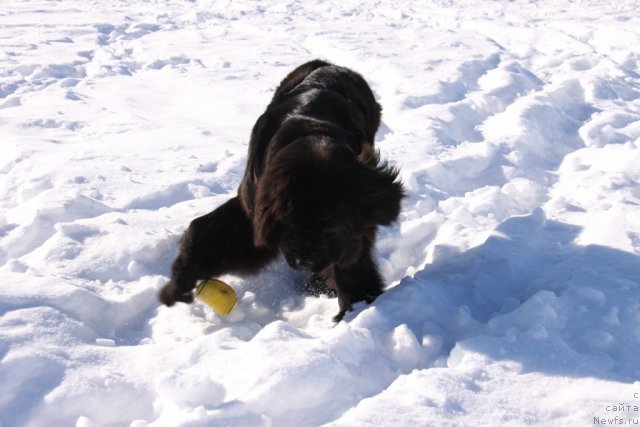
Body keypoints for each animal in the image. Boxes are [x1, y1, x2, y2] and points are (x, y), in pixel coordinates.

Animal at [159, 60, 400, 320]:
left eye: (330, 229)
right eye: (291, 225)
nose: (305, 262)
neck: (314, 133)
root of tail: (333, 65)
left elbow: (352, 262)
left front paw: (355, 307)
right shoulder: (253, 206)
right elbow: (207, 231)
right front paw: (181, 279)